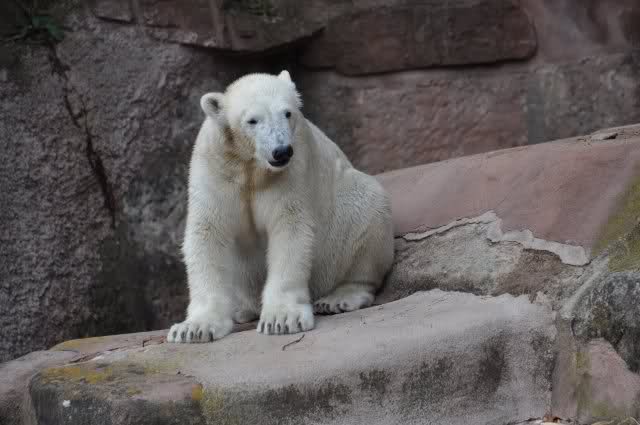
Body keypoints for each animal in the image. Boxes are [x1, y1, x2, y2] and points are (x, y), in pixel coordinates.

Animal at [167, 71, 394, 343]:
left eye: (287, 112)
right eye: (252, 120)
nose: (281, 151)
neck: (252, 166)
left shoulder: (293, 171)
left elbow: (289, 228)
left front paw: (282, 319)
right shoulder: (216, 168)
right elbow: (208, 232)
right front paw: (193, 328)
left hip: (346, 213)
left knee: (369, 213)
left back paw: (339, 298)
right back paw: (242, 310)